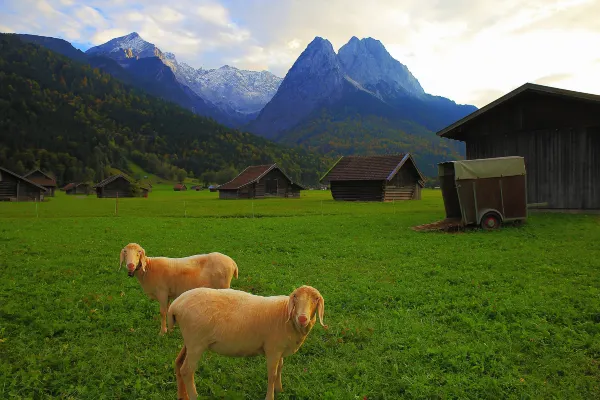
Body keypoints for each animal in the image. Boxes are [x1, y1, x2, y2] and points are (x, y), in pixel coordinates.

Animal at [168, 284, 328, 400]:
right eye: (295, 297)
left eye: (316, 299)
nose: (302, 318)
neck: (286, 317)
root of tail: (175, 305)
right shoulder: (273, 349)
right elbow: (272, 374)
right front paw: (270, 396)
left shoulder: (280, 349)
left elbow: (280, 368)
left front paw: (280, 390)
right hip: (196, 342)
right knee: (187, 370)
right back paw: (194, 396)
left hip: (189, 341)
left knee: (178, 363)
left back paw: (182, 396)